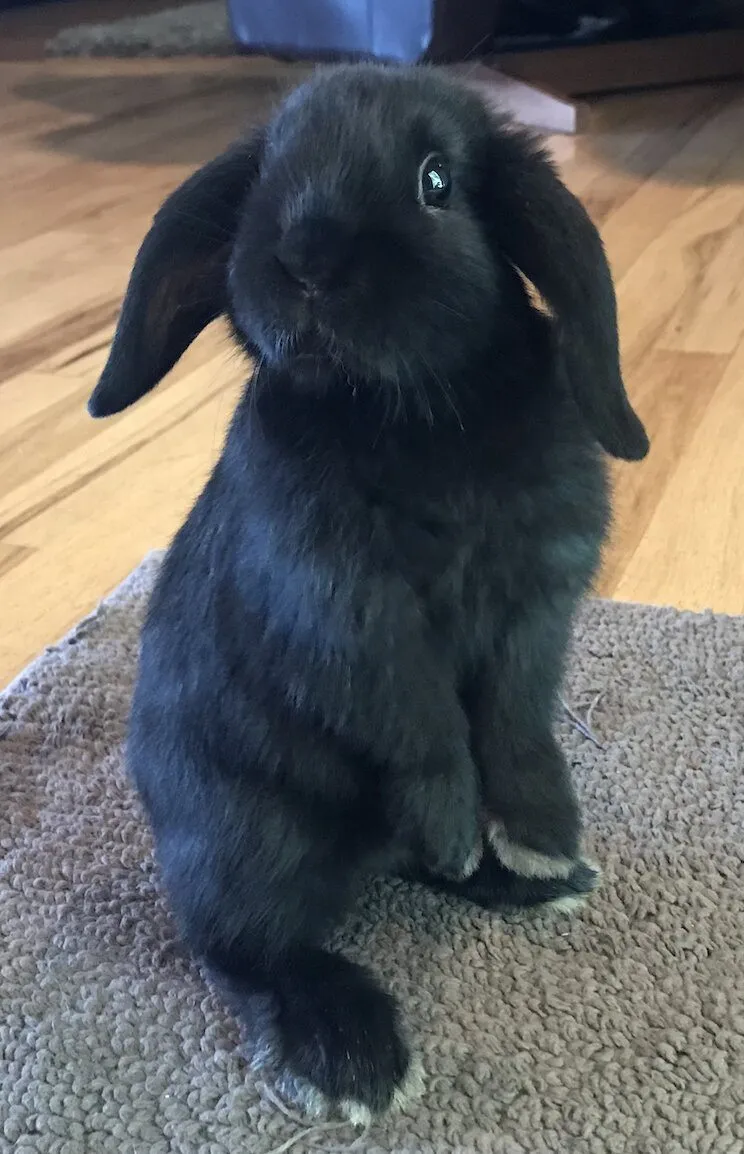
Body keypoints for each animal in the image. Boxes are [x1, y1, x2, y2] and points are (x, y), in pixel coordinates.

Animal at [87, 63, 648, 1122]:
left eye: (437, 181)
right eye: (267, 173)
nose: (306, 260)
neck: (408, 413)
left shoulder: (537, 602)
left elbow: (514, 720)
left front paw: (540, 835)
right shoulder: (342, 613)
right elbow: (420, 722)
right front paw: (456, 825)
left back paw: (524, 882)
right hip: (250, 836)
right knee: (245, 946)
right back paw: (351, 1054)